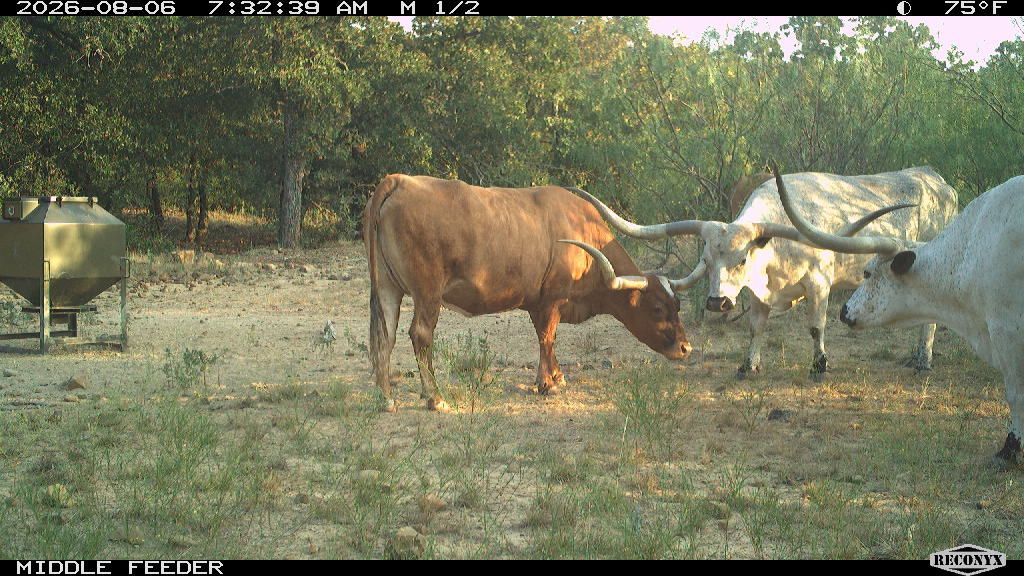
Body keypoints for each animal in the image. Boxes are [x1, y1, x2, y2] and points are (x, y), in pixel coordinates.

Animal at [363, 175, 695, 412]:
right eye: (657, 308)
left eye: (677, 304)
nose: (685, 348)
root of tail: (399, 180)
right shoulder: (551, 300)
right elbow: (547, 337)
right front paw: (547, 383)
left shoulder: (540, 303)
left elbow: (547, 338)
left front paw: (556, 375)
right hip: (428, 292)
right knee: (420, 334)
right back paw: (434, 397)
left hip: (387, 287)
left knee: (384, 336)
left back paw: (385, 398)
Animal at [573, 167, 958, 380]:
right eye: (706, 260)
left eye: (742, 259)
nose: (716, 302)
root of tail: (937, 180)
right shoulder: (758, 293)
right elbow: (756, 327)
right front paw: (748, 366)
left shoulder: (819, 284)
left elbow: (815, 326)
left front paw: (819, 366)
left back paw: (923, 360)